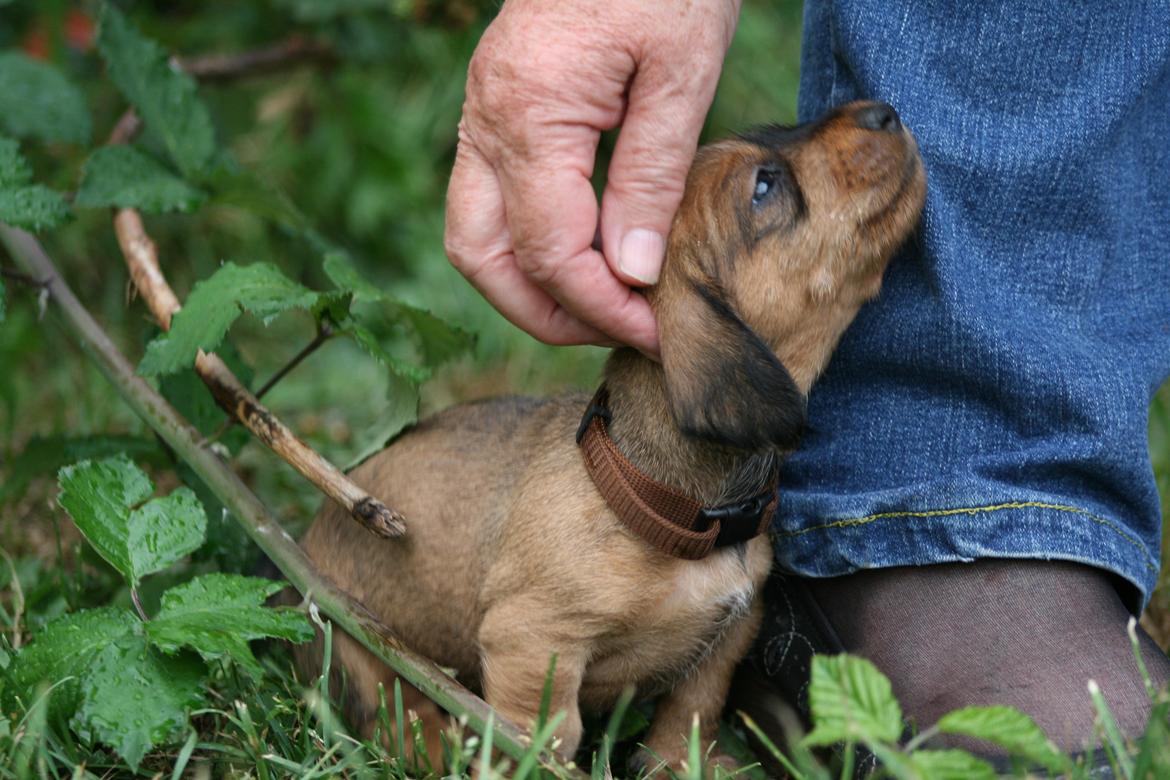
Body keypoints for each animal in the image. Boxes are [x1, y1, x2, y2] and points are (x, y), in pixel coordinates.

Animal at [297, 100, 926, 771]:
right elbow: (548, 733)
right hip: (357, 644)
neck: (659, 496)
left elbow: (690, 713)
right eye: (764, 187)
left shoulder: (733, 632)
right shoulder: (531, 638)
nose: (882, 110)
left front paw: (682, 766)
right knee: (391, 712)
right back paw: (438, 741)